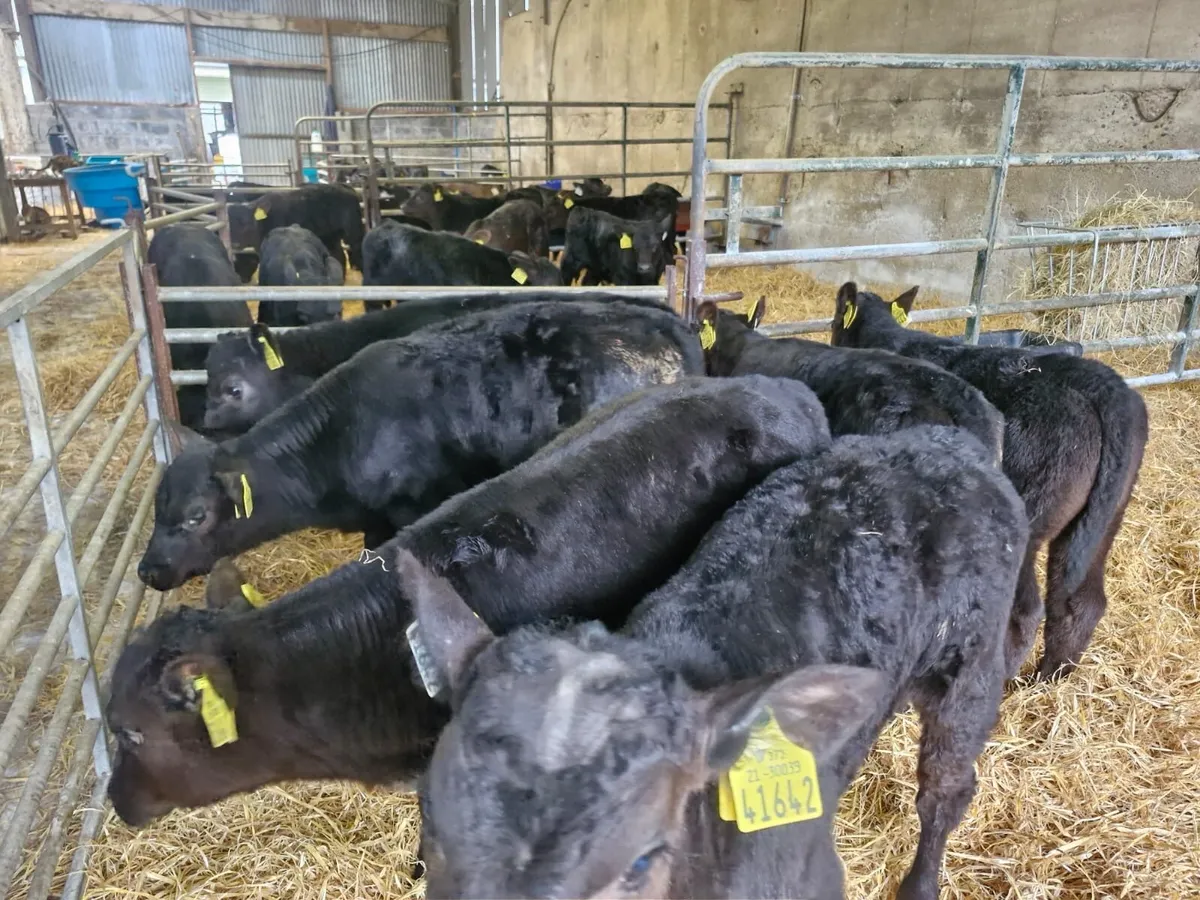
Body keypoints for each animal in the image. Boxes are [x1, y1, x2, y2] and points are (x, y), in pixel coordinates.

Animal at [832, 282, 1149, 679]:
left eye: (835, 321)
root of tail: (1105, 388)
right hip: (1102, 521)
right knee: (1079, 599)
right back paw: (1050, 677)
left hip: (1027, 518)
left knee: (1025, 609)